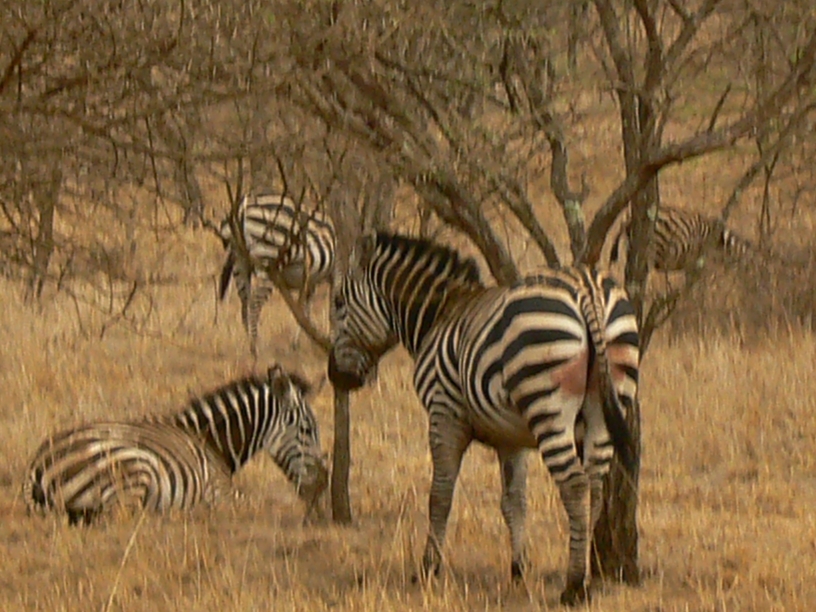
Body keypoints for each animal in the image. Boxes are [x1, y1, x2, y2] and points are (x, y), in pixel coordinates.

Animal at [23, 364, 329, 526]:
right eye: (307, 430)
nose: (321, 486)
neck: (213, 442)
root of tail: (39, 466)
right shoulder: (220, 490)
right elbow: (257, 501)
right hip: (134, 469)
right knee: (124, 515)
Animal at [218, 193, 336, 356]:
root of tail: (242, 209)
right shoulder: (336, 273)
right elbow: (331, 309)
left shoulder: (310, 280)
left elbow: (304, 308)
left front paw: (298, 341)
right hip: (269, 260)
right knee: (255, 304)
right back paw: (256, 347)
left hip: (240, 260)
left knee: (245, 303)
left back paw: (250, 343)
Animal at [327, 232, 639, 606]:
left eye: (339, 303)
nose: (334, 377)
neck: (440, 315)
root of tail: (587, 288)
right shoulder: (511, 437)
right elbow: (514, 502)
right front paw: (519, 569)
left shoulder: (443, 413)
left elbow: (440, 495)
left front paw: (428, 569)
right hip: (607, 400)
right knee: (594, 485)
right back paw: (587, 579)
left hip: (548, 403)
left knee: (575, 485)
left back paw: (574, 587)